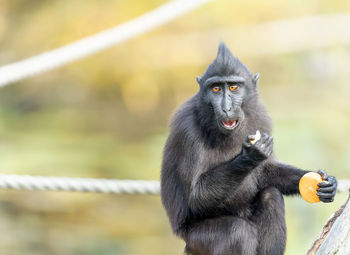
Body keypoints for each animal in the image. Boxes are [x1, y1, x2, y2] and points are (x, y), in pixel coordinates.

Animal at [160, 42, 338, 255]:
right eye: (216, 89)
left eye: (234, 87)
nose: (226, 108)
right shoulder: (186, 131)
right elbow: (196, 196)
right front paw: (250, 156)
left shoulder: (261, 119)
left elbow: (267, 171)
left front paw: (328, 183)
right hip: (196, 240)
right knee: (237, 231)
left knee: (271, 196)